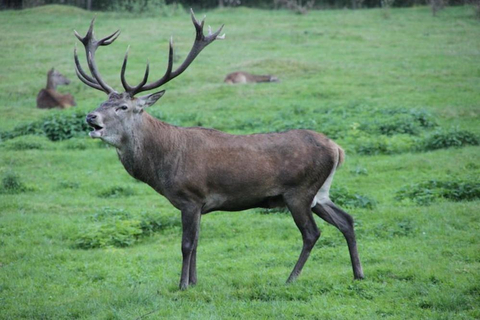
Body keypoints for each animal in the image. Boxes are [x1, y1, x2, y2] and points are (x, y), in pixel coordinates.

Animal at [74, 10, 364, 290]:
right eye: (102, 101)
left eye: (122, 107)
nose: (90, 117)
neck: (162, 167)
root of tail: (337, 149)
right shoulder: (200, 205)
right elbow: (197, 243)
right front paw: (194, 282)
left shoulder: (190, 197)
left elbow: (186, 245)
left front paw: (182, 285)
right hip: (320, 193)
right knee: (347, 220)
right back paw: (358, 274)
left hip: (299, 192)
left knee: (311, 233)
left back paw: (291, 278)